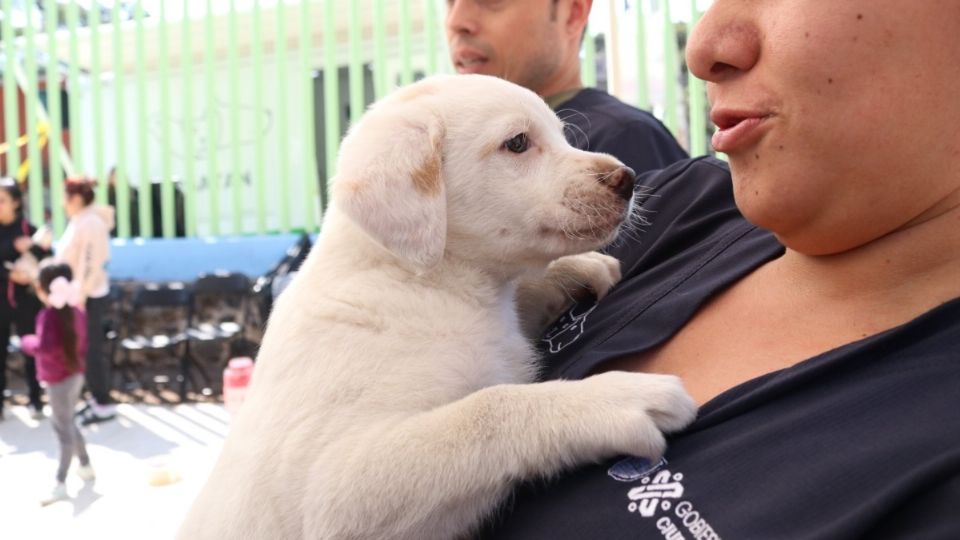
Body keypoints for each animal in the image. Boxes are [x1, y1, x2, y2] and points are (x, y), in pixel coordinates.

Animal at [180, 75, 692, 540]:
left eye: (561, 135)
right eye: (518, 143)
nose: (628, 180)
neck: (420, 281)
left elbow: (525, 295)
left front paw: (577, 269)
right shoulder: (337, 488)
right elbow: (488, 407)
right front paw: (614, 398)